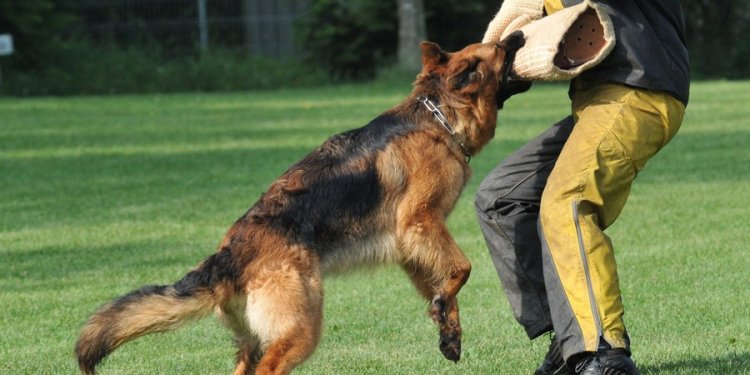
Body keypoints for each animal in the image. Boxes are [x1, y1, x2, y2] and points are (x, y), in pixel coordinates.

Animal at [75, 30, 524, 374]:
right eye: (499, 48)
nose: (519, 33)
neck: (438, 117)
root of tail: (228, 258)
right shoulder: (420, 221)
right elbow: (463, 268)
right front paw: (446, 307)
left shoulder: (412, 245)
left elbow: (443, 287)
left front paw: (447, 328)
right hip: (300, 329)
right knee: (270, 368)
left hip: (256, 340)